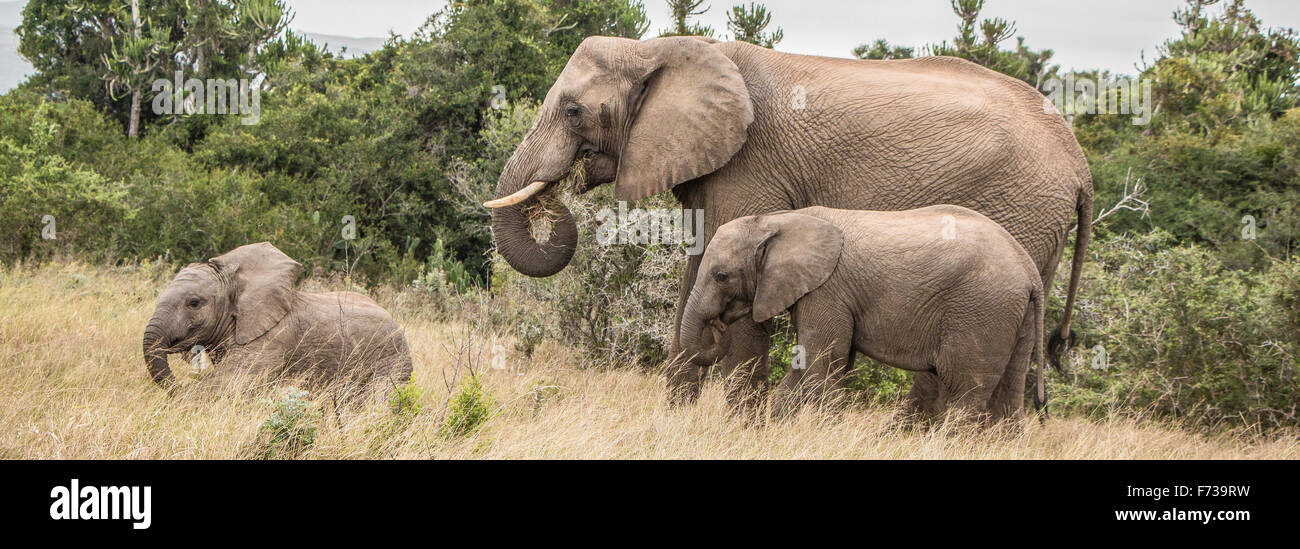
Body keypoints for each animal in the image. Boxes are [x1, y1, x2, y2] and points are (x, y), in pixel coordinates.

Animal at [686, 205, 1050, 421]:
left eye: (721, 276)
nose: (719, 324)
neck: (780, 220)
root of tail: (1029, 270)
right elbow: (814, 363)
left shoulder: (827, 290)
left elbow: (823, 361)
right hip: (1014, 315)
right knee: (1010, 390)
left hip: (982, 310)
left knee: (965, 389)